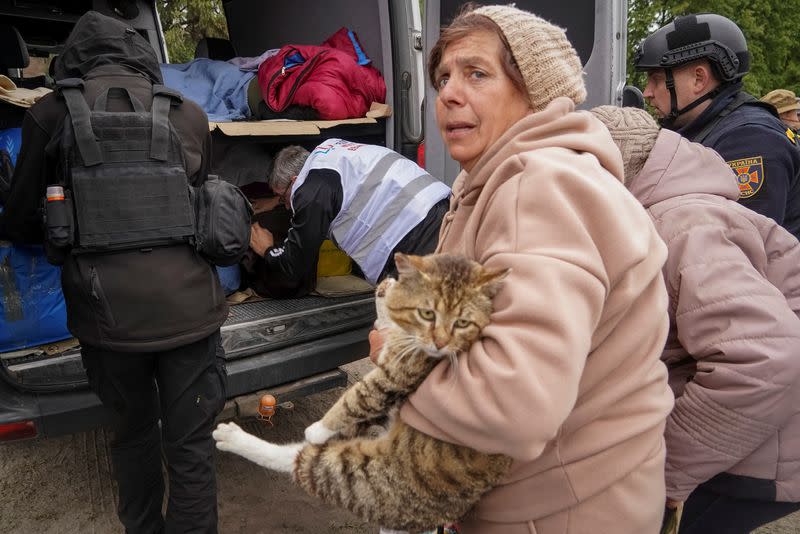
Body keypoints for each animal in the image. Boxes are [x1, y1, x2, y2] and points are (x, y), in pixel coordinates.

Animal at [212, 253, 512, 532]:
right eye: (427, 311)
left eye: (459, 322)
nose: (390, 276)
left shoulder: (396, 371)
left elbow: (355, 397)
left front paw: (317, 428)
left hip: (365, 473)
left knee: (300, 459)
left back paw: (233, 437)